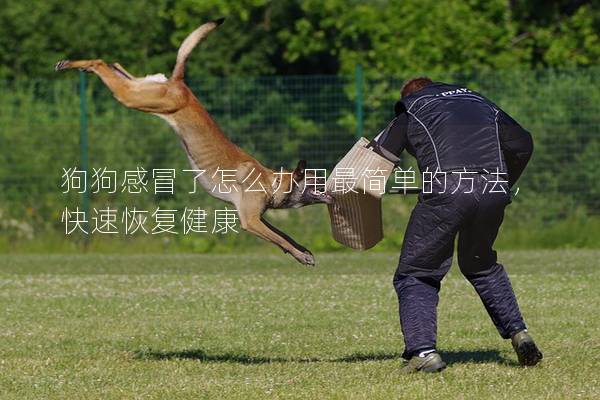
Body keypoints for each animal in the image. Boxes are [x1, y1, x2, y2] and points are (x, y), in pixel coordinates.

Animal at [55, 19, 332, 268]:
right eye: (317, 181)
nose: (333, 189)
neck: (270, 181)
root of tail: (179, 83)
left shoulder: (256, 217)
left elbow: (284, 235)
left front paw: (303, 250)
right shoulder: (250, 220)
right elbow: (279, 238)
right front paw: (301, 256)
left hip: (142, 89)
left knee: (116, 66)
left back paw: (78, 65)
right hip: (135, 98)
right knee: (102, 63)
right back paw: (73, 64)